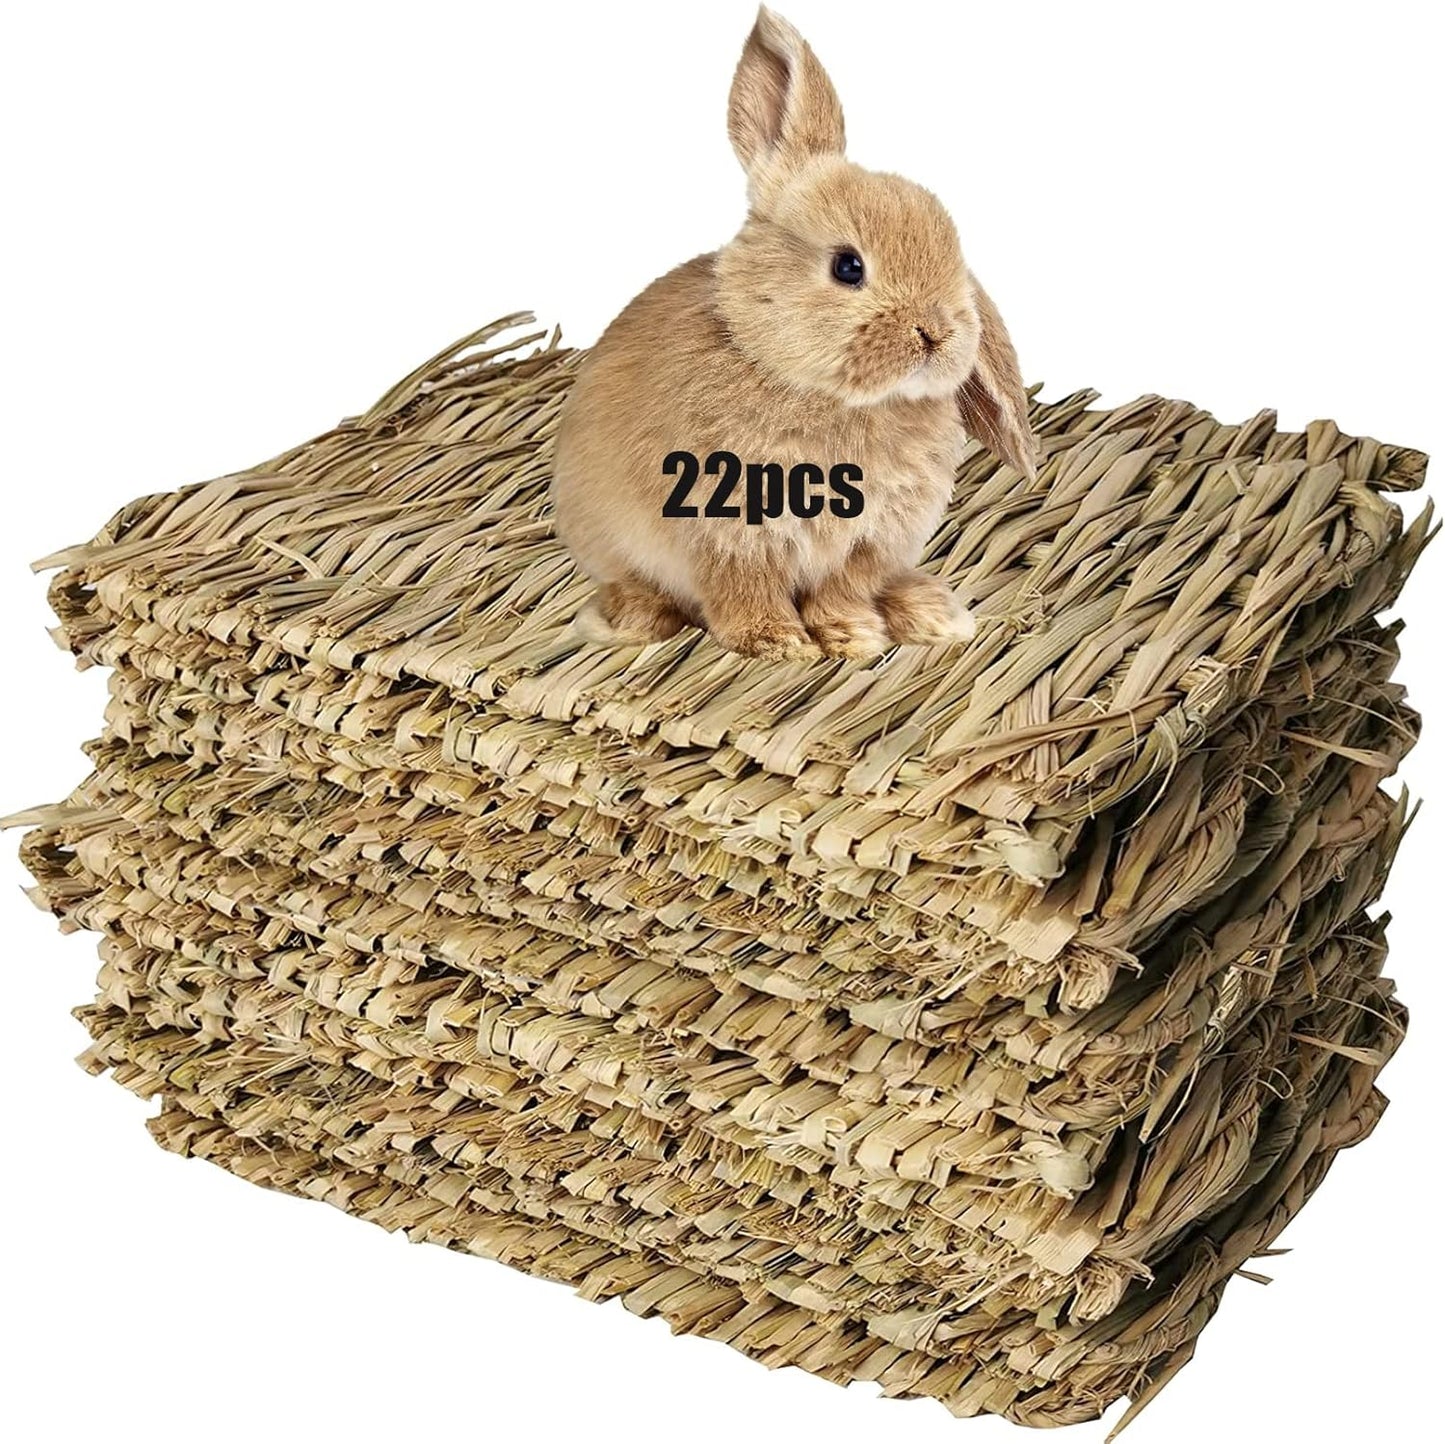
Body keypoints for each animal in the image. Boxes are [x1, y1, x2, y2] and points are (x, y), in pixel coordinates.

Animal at [551, 6, 1035, 661]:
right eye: (848, 266)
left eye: (954, 258)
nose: (936, 332)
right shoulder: (728, 535)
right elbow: (742, 593)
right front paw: (780, 644)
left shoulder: (865, 544)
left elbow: (840, 592)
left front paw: (853, 637)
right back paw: (628, 621)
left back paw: (930, 612)